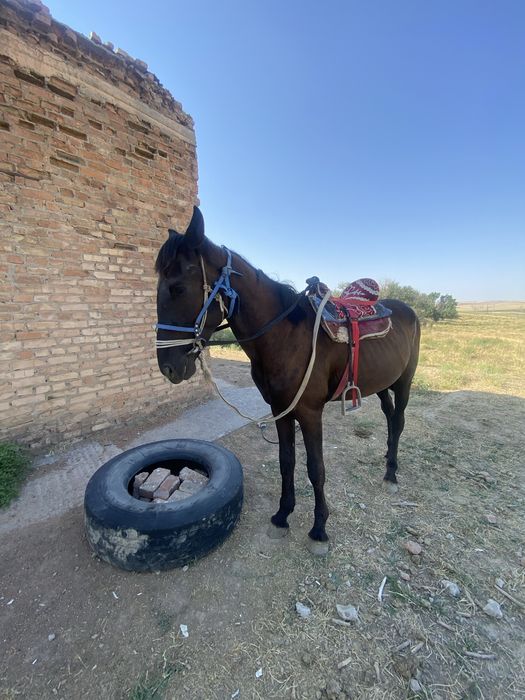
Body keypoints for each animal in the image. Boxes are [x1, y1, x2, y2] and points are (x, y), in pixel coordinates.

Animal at [155, 206, 420, 554]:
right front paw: (282, 515)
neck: (284, 337)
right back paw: (388, 461)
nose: (168, 367)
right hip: (380, 385)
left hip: (404, 382)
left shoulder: (309, 413)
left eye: (178, 288)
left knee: (399, 421)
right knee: (389, 417)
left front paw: (319, 528)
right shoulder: (280, 410)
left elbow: (315, 469)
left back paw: (391, 473)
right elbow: (286, 461)